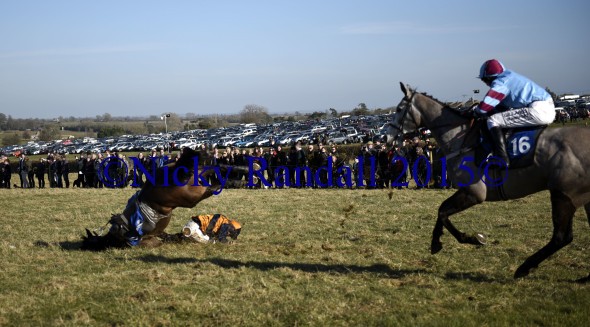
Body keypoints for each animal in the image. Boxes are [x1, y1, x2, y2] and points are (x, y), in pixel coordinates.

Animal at [386, 83, 590, 280]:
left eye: (399, 109)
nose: (386, 136)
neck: (461, 139)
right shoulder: (468, 191)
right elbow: (441, 210)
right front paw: (436, 242)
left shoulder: (474, 192)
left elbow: (443, 212)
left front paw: (471, 238)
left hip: (563, 194)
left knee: (562, 237)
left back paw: (523, 268)